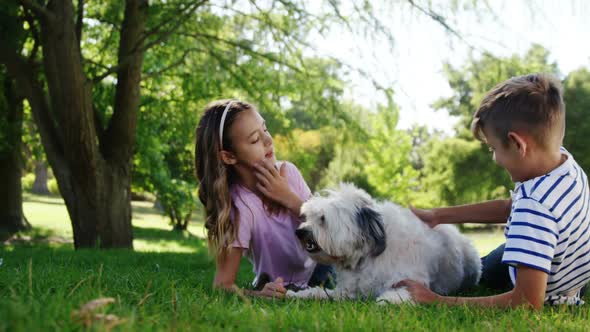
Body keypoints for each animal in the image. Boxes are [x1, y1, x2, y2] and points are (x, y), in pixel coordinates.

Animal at [290, 184, 484, 304]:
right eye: (308, 217)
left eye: (322, 219)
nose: (300, 232)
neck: (367, 255)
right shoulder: (344, 292)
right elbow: (320, 292)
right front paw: (297, 294)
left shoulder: (410, 278)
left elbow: (404, 290)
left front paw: (391, 299)